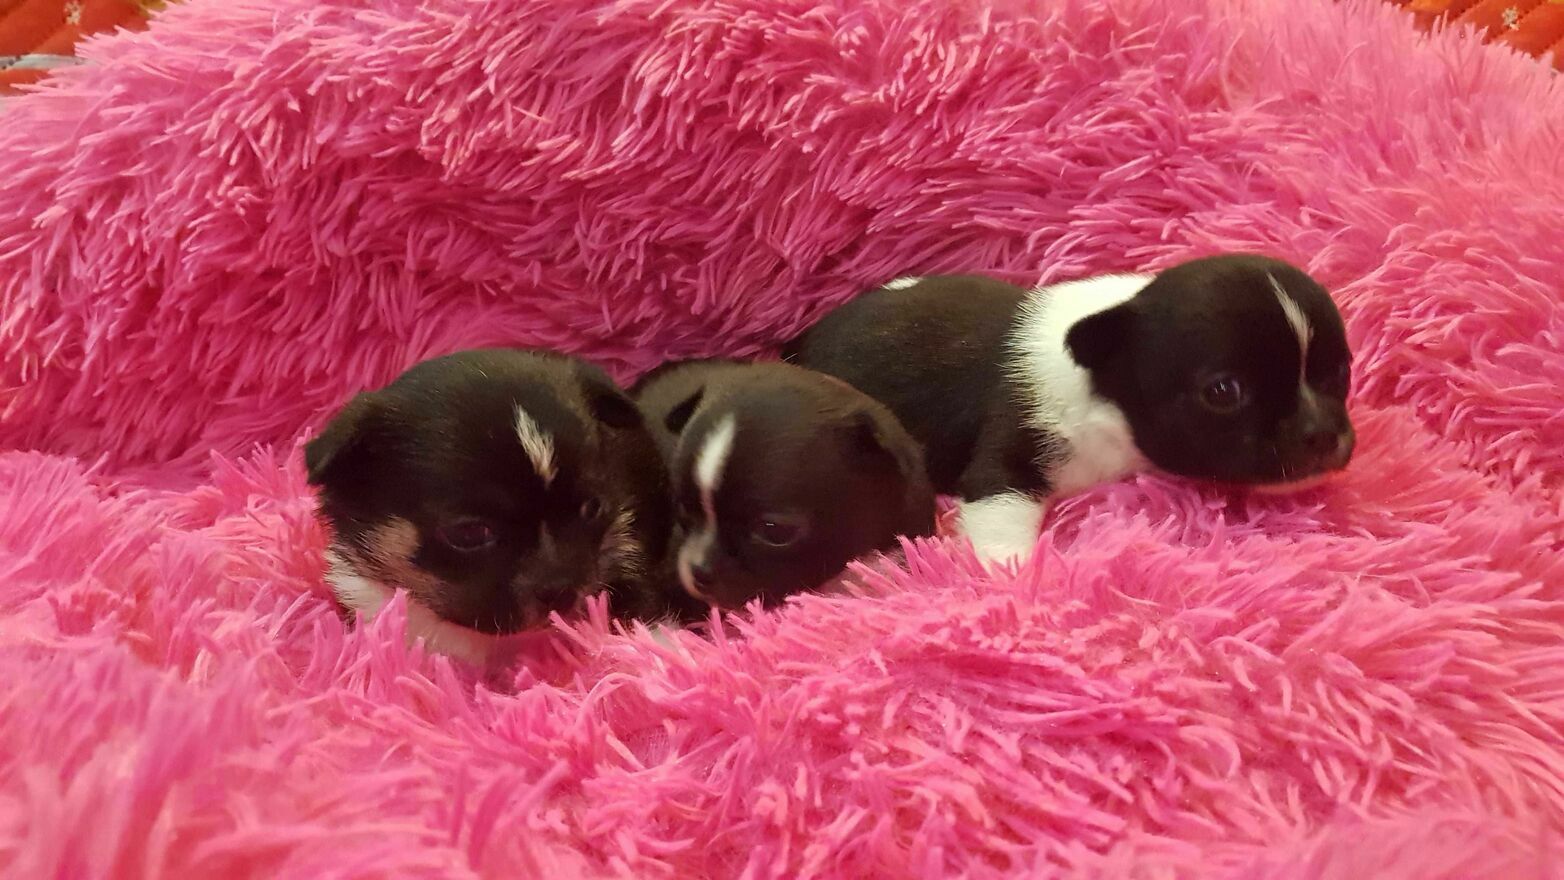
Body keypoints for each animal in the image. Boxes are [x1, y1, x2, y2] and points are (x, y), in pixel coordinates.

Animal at [784, 254, 1355, 567]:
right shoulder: (1008, 454)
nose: (1323, 433)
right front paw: (1009, 575)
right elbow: (1000, 518)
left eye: (1342, 370)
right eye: (1222, 392)